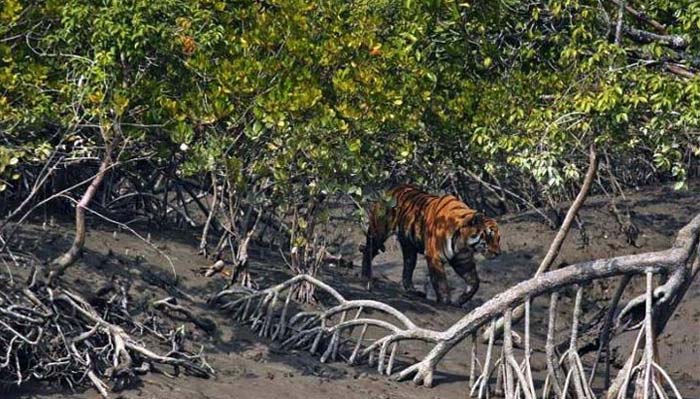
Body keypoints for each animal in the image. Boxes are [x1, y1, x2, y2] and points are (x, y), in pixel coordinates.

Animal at [360, 184, 498, 306]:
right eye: (489, 235)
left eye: (498, 237)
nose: (498, 253)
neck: (463, 243)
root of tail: (392, 189)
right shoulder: (434, 256)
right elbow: (440, 282)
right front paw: (445, 301)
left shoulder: (463, 260)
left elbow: (474, 282)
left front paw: (460, 301)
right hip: (378, 233)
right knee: (368, 251)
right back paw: (365, 278)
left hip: (409, 247)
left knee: (408, 267)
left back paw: (413, 291)